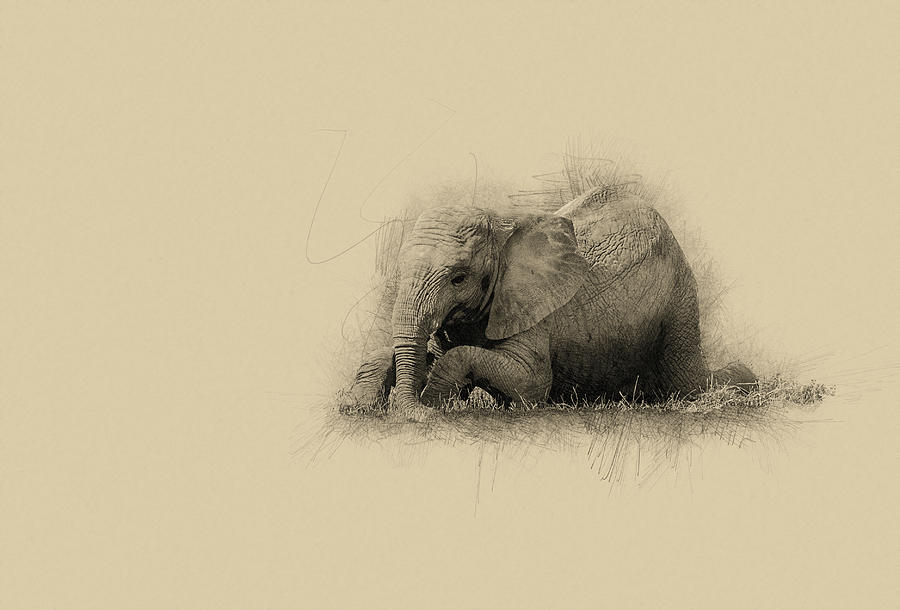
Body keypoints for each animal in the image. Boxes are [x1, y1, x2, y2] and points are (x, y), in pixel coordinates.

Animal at [339, 186, 757, 420]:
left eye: (458, 277)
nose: (415, 416)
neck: (503, 227)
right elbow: (411, 352)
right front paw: (355, 409)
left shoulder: (532, 310)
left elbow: (531, 381)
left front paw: (433, 403)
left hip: (677, 300)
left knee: (687, 382)